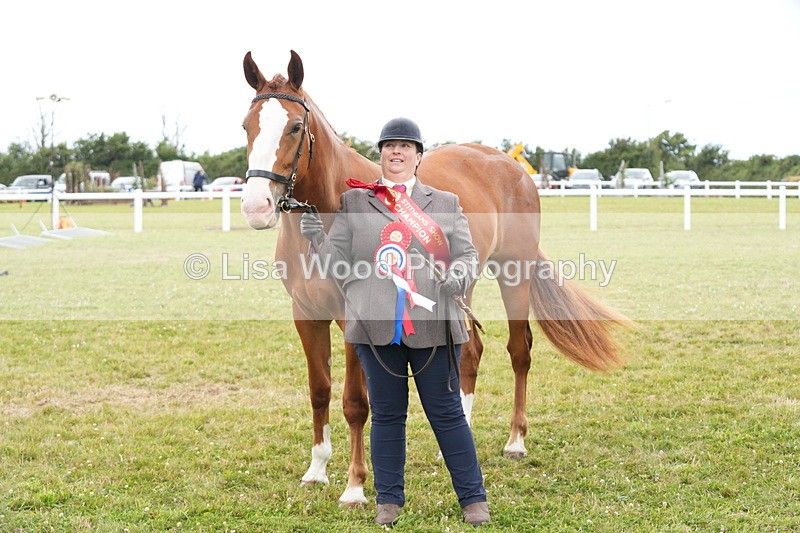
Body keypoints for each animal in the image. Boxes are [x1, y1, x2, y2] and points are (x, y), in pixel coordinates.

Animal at [239, 50, 625, 506]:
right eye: (246, 126)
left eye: (296, 127)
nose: (256, 206)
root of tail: (511, 166)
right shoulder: (306, 315)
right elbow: (320, 391)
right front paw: (316, 470)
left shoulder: (356, 316)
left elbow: (356, 402)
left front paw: (355, 487)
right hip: (460, 285)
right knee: (471, 351)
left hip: (515, 275)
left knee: (520, 351)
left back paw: (515, 441)